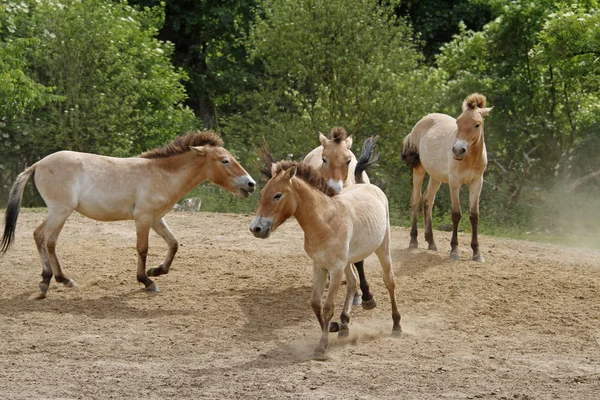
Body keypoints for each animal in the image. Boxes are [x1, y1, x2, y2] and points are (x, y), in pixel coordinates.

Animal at [0, 131, 254, 296]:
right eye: (225, 161)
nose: (250, 184)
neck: (161, 175)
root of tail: (38, 164)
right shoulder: (143, 218)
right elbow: (143, 249)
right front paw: (147, 281)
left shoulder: (156, 219)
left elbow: (174, 244)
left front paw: (156, 271)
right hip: (59, 211)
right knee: (42, 237)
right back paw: (48, 281)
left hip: (60, 212)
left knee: (47, 240)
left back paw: (61, 280)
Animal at [404, 94, 492, 262]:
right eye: (458, 122)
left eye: (477, 125)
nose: (458, 150)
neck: (470, 158)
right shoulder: (454, 183)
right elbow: (456, 214)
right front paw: (454, 250)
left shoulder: (477, 183)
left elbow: (474, 215)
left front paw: (477, 253)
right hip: (419, 170)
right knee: (416, 200)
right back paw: (413, 240)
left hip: (436, 177)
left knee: (428, 200)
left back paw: (431, 242)